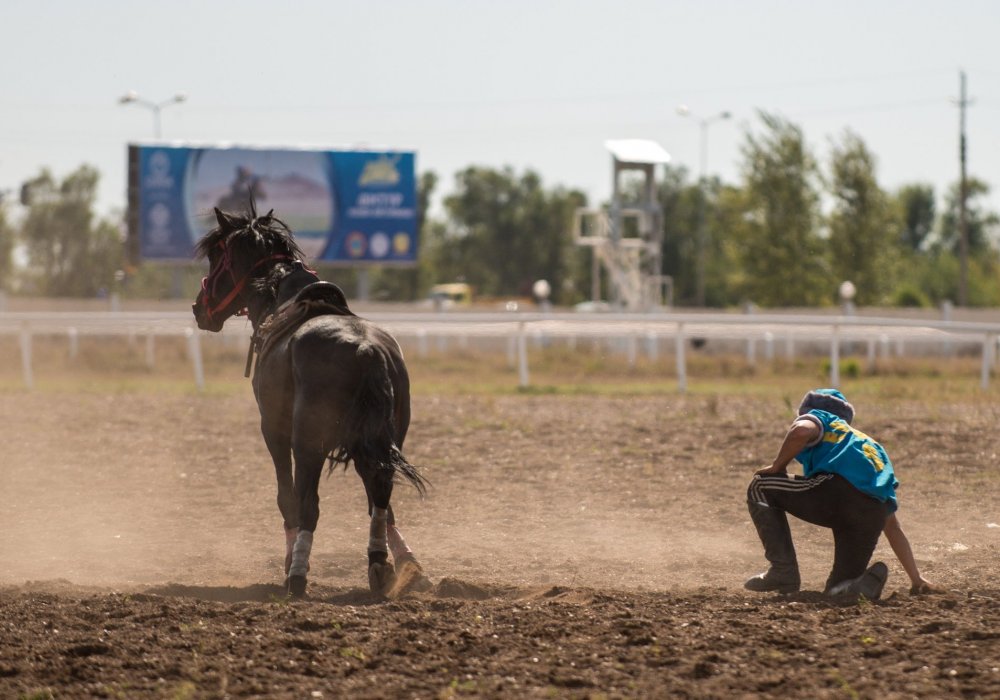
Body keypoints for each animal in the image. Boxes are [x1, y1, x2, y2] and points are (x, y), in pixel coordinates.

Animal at [191, 206, 426, 596]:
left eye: (216, 258)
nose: (198, 308)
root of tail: (365, 349)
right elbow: (378, 501)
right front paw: (402, 561)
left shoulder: (273, 430)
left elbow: (287, 497)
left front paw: (289, 563)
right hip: (383, 436)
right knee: (380, 489)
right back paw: (381, 565)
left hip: (308, 442)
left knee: (309, 503)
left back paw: (298, 575)